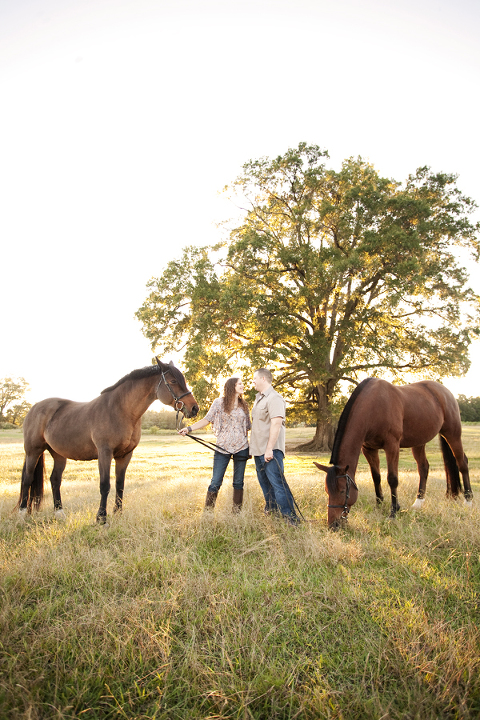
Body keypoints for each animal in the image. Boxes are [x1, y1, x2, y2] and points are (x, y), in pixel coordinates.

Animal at [17, 358, 199, 523]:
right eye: (173, 381)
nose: (194, 408)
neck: (120, 410)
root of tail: (35, 407)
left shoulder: (125, 455)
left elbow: (120, 484)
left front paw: (118, 513)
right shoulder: (105, 453)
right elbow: (105, 485)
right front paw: (101, 518)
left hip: (59, 454)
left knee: (55, 480)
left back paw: (59, 514)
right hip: (33, 451)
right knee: (27, 479)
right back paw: (21, 514)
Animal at [313, 378, 473, 529]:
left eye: (342, 491)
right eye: (327, 491)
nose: (333, 525)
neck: (373, 406)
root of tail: (445, 392)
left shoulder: (392, 446)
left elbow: (392, 479)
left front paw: (393, 512)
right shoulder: (369, 449)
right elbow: (376, 477)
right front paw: (379, 505)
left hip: (452, 434)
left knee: (462, 463)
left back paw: (468, 500)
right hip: (418, 442)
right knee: (423, 467)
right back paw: (418, 503)